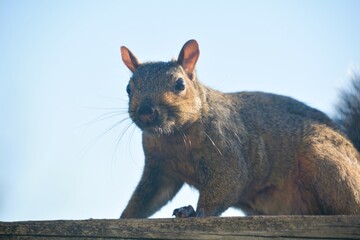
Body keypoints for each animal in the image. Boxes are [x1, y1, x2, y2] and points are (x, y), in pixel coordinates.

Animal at [119, 39, 360, 218]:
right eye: (128, 88)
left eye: (180, 84)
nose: (146, 112)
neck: (174, 137)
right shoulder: (160, 167)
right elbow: (150, 196)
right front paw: (125, 216)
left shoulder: (224, 144)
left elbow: (230, 179)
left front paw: (195, 212)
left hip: (322, 157)